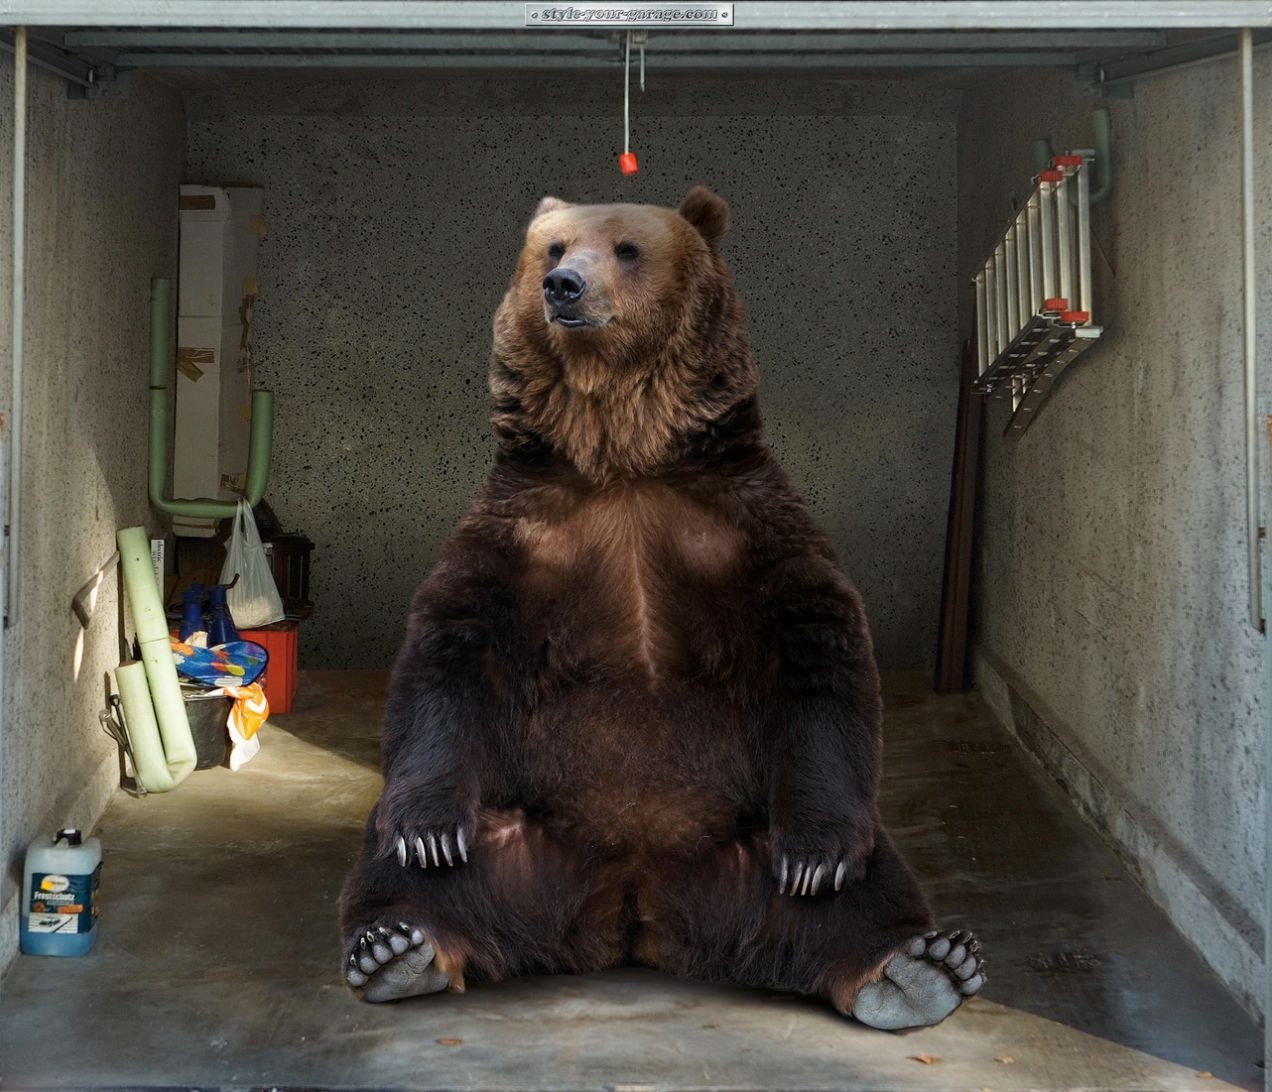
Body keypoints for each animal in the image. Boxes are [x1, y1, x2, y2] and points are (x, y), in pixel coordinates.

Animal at [338, 187, 984, 1030]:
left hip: (744, 847)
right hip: (526, 837)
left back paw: (918, 965)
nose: (564, 286)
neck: (624, 454)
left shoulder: (740, 525)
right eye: (553, 248)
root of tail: (633, 905)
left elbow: (817, 648)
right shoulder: (524, 532)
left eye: (626, 247)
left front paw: (816, 858)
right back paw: (395, 947)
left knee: (868, 882)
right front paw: (429, 832)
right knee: (404, 863)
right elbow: (450, 651)